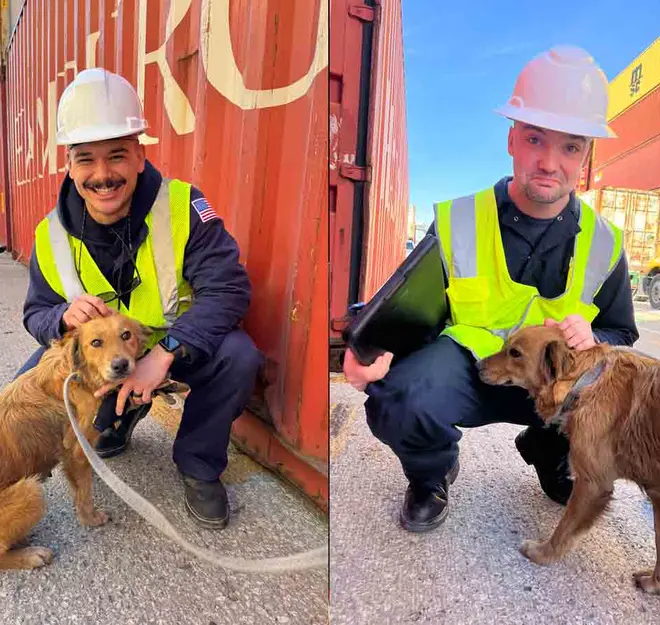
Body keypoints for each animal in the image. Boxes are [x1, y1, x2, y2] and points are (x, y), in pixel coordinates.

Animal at [0, 314, 146, 568]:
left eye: (126, 335)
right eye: (96, 342)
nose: (121, 365)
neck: (77, 376)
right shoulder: (78, 452)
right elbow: (84, 493)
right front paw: (91, 519)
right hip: (31, 490)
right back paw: (30, 556)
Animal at [476, 326, 660, 596]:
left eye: (515, 353)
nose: (477, 365)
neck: (587, 380)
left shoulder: (592, 485)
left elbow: (564, 529)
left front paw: (543, 554)